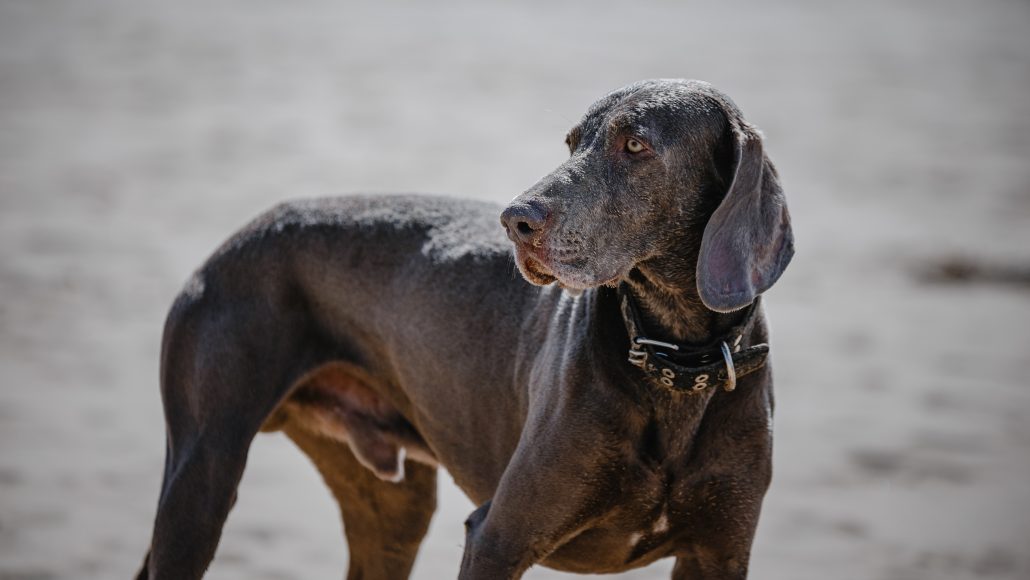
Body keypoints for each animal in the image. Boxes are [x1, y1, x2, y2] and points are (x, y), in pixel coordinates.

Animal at [136, 78, 791, 580]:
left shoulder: (720, 554)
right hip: (202, 476)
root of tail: (230, 241)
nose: (515, 219)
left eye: (635, 144)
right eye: (571, 142)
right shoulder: (497, 536)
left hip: (392, 511)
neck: (674, 359)